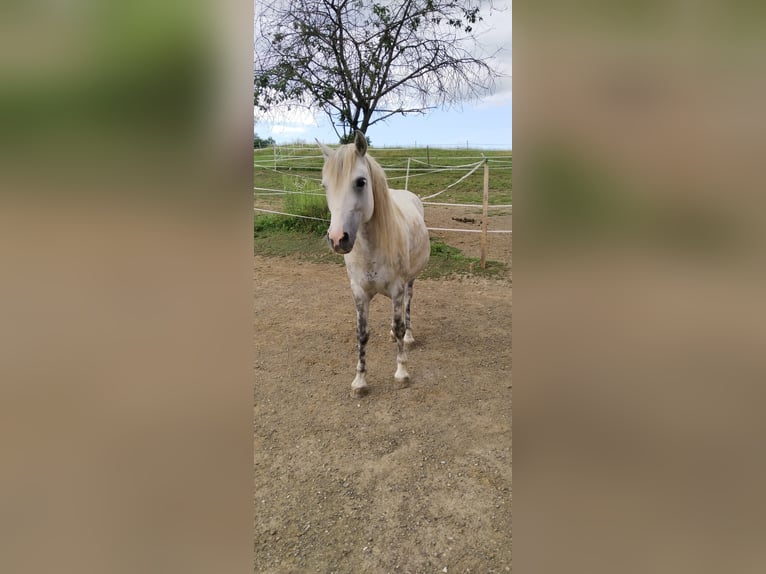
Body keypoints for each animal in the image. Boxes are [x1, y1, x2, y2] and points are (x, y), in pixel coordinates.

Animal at [317, 131, 430, 397]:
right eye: (325, 185)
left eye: (360, 182)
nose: (337, 239)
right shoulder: (359, 293)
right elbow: (362, 333)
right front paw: (359, 381)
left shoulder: (397, 289)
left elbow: (399, 326)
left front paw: (402, 373)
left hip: (410, 281)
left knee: (408, 307)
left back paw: (409, 337)